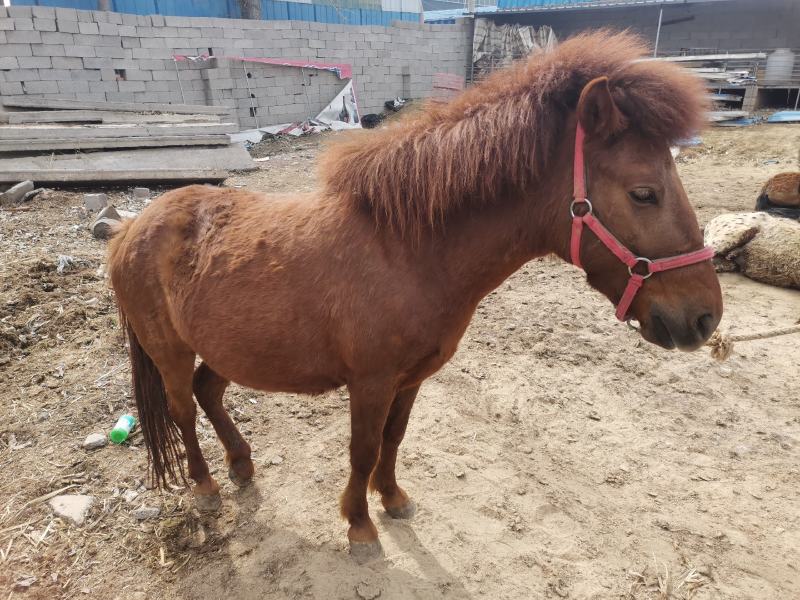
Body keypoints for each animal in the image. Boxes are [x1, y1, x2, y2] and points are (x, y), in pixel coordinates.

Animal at [107, 31, 723, 561]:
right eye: (644, 193)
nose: (705, 318)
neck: (407, 250)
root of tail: (131, 229)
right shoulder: (371, 381)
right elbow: (363, 448)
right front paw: (359, 525)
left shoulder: (411, 378)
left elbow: (394, 439)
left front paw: (393, 500)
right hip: (170, 351)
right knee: (183, 408)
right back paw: (206, 484)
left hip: (230, 346)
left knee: (209, 393)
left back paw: (240, 463)